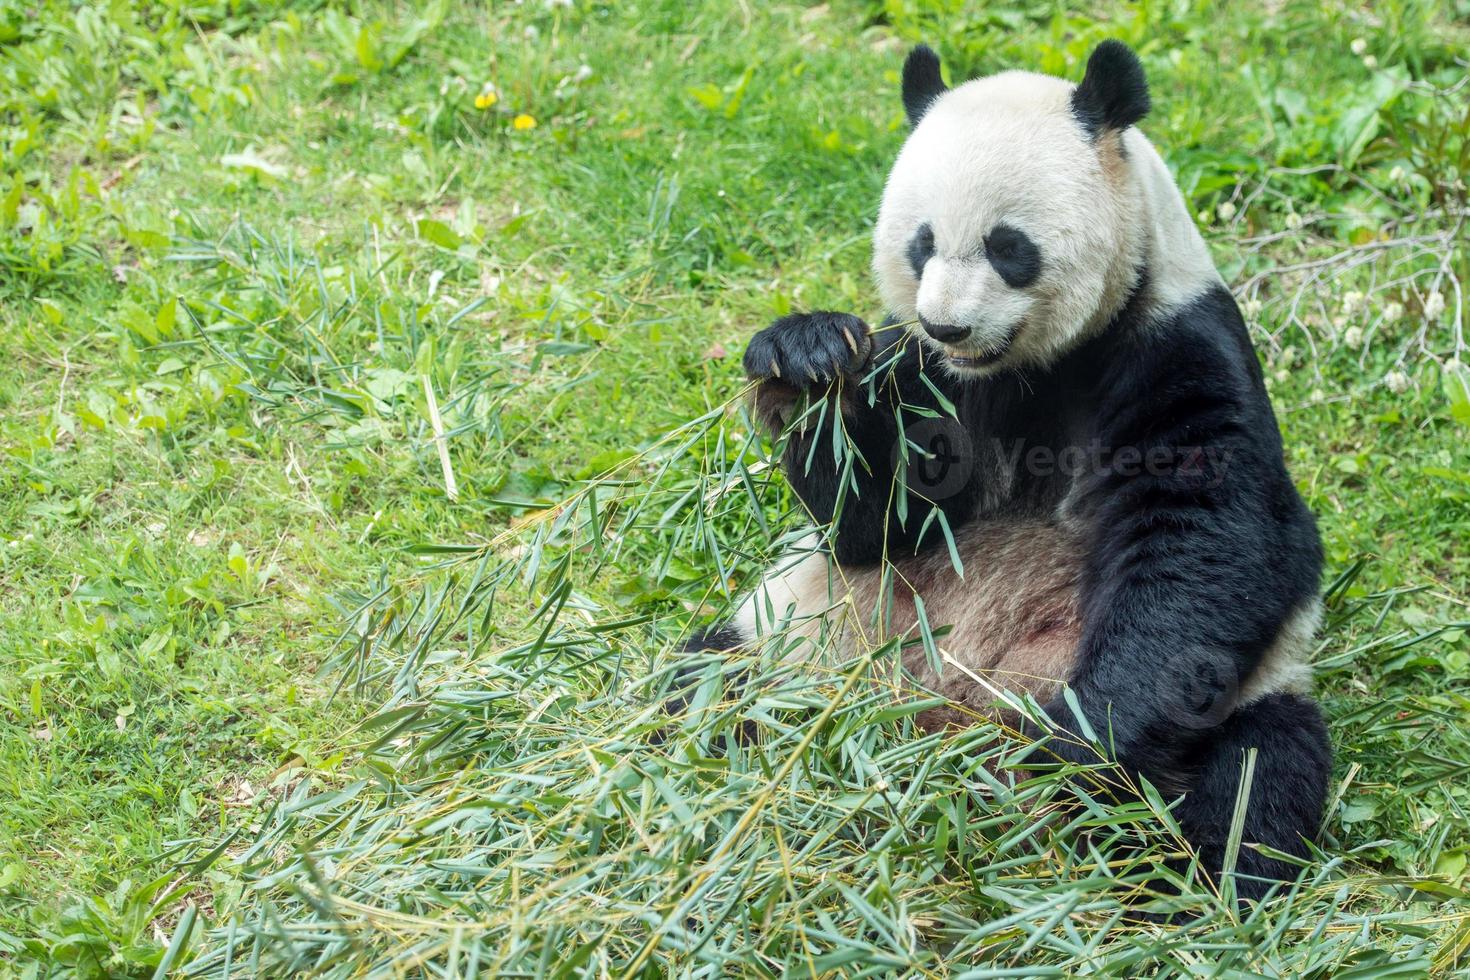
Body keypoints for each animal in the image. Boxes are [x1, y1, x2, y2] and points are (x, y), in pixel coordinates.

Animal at [676, 42, 1334, 899]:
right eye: (921, 243)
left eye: (1007, 246)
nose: (946, 324)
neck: (1027, 366)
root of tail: (931, 718)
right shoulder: (922, 373)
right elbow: (878, 527)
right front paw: (806, 362)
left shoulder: (1174, 345)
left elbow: (1207, 545)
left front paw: (1074, 743)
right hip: (802, 641)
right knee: (704, 683)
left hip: (1246, 698)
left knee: (1251, 783)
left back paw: (1155, 876)